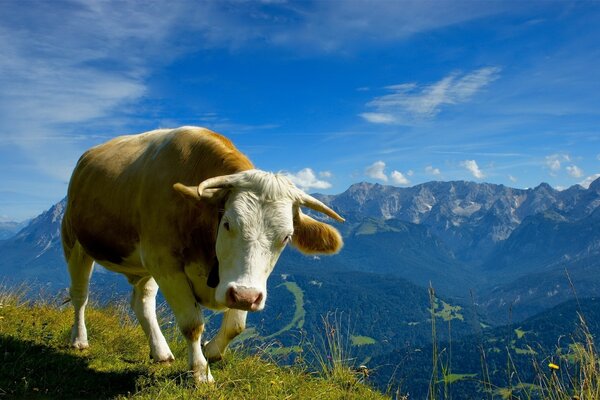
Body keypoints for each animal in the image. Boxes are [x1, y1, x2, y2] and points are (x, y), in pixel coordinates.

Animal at [61, 126, 344, 382]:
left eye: (286, 237)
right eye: (227, 223)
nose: (245, 296)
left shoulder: (237, 282)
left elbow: (236, 325)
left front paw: (211, 351)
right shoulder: (166, 264)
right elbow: (192, 324)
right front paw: (200, 373)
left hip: (143, 265)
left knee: (142, 301)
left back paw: (160, 351)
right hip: (74, 241)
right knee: (80, 295)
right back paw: (79, 339)